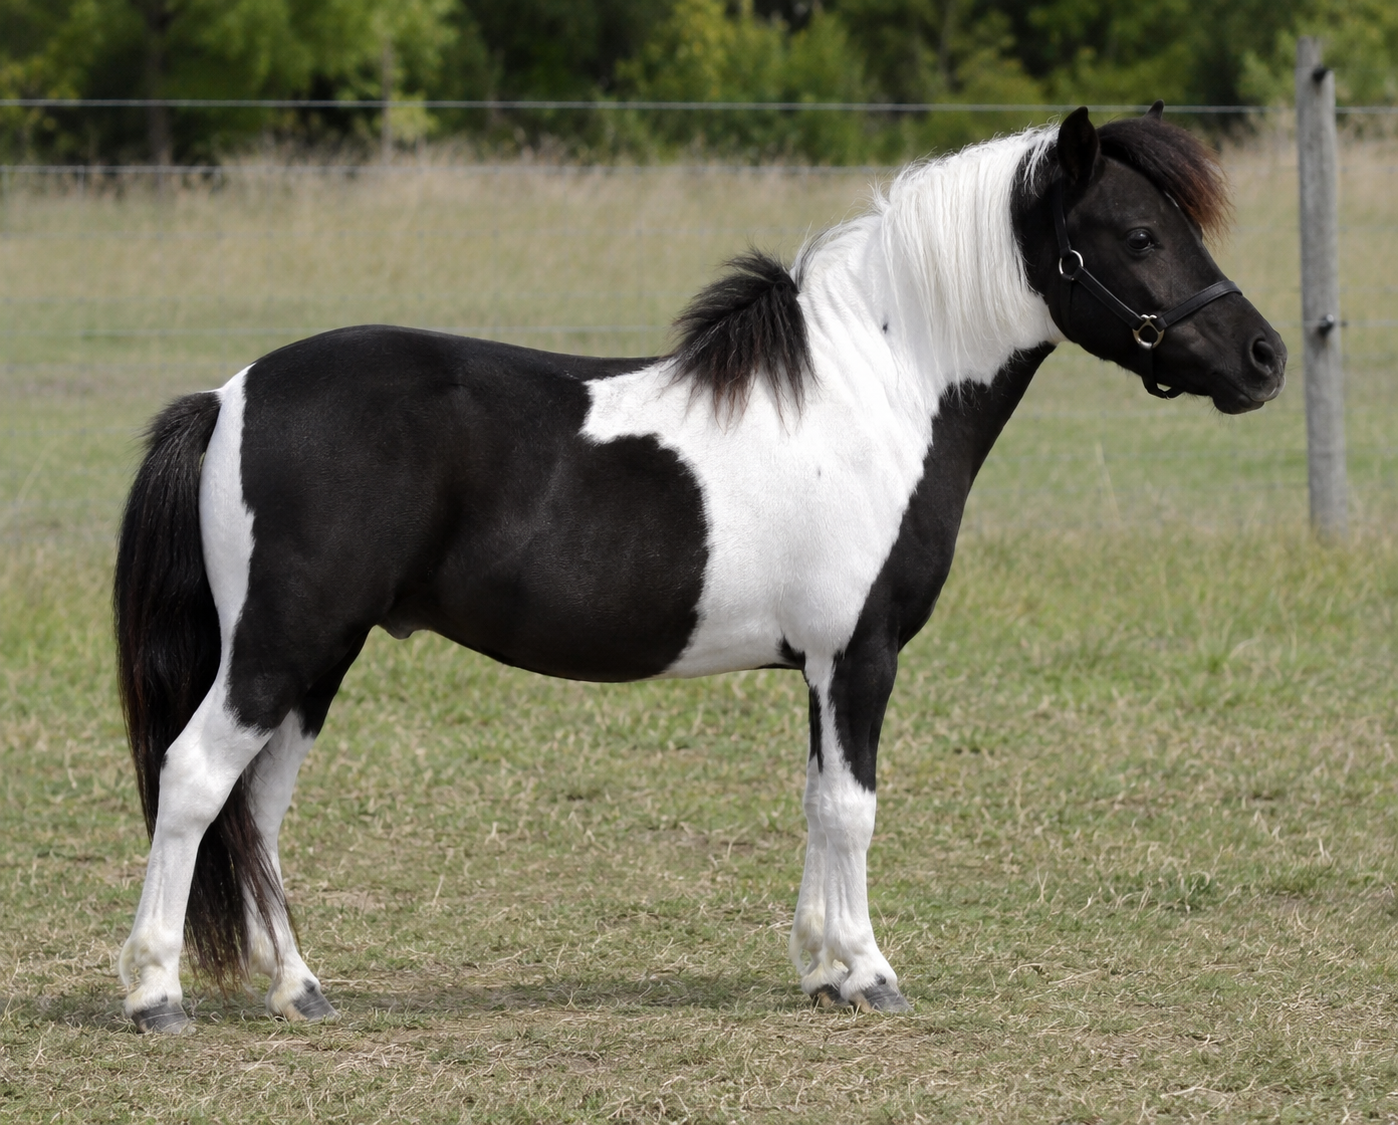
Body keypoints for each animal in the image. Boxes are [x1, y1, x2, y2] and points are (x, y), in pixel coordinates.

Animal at [112, 104, 1285, 1033]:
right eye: (1139, 234)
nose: (1264, 359)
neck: (881, 388)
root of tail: (226, 397)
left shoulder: (823, 668)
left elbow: (817, 799)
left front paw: (823, 970)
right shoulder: (862, 657)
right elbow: (852, 807)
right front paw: (870, 974)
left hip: (316, 659)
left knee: (257, 809)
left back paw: (298, 990)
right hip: (280, 647)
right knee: (195, 780)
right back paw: (157, 995)